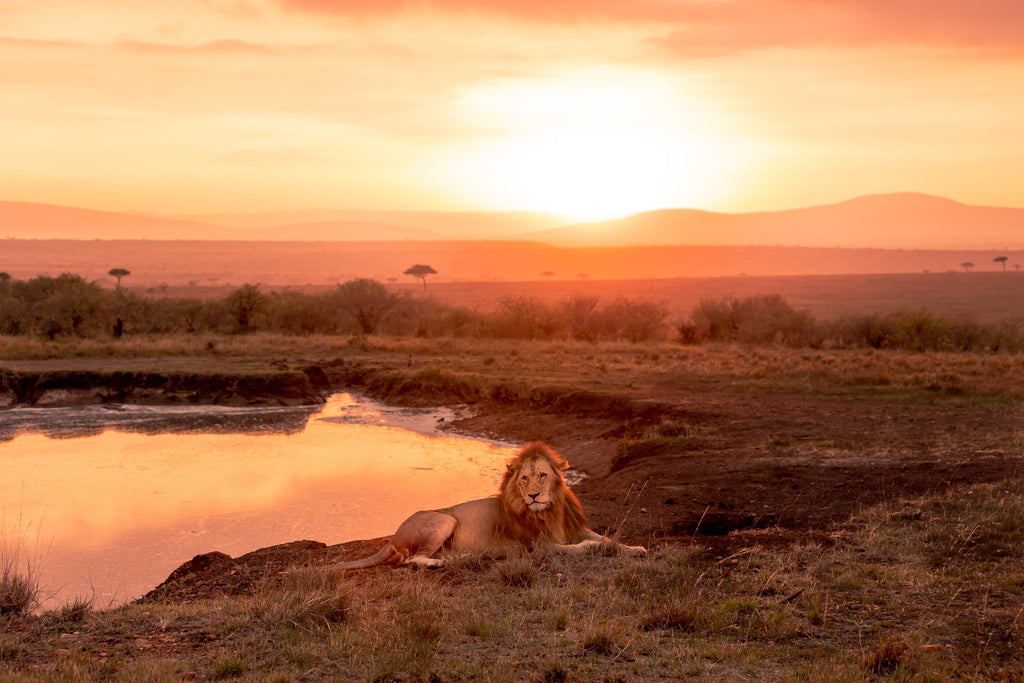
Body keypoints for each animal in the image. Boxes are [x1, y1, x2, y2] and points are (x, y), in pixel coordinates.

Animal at [331, 440, 643, 569]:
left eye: (543, 475)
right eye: (524, 479)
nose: (533, 496)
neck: (550, 511)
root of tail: (393, 536)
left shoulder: (571, 529)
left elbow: (605, 538)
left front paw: (635, 549)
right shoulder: (539, 546)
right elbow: (584, 547)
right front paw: (598, 549)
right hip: (445, 519)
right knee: (413, 560)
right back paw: (449, 561)